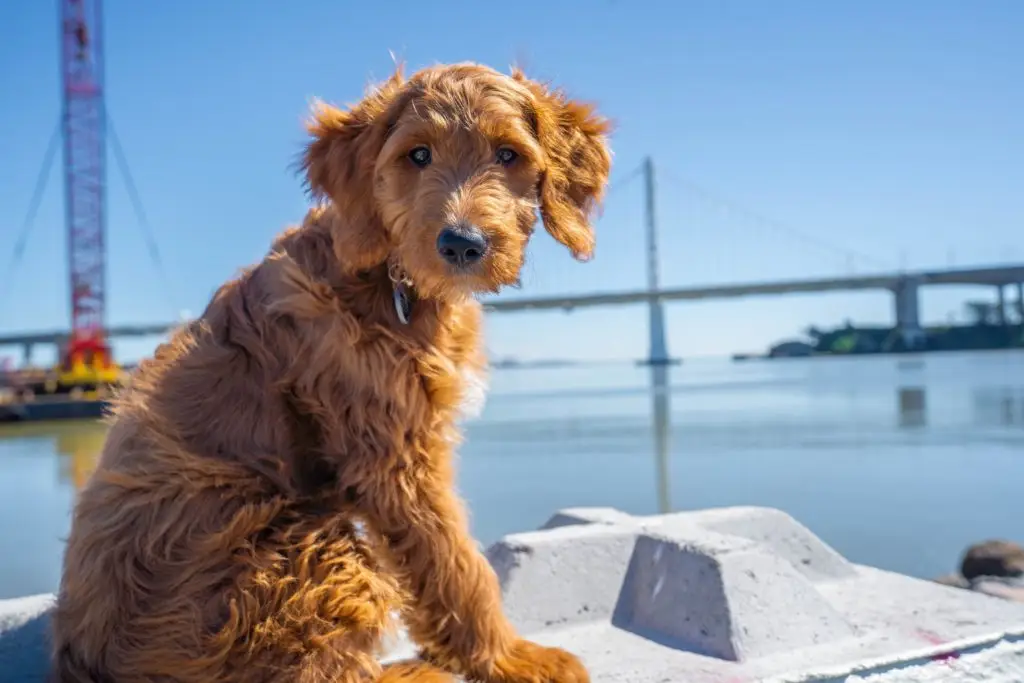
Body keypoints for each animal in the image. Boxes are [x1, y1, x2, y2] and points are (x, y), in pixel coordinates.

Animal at [49, 61, 606, 679]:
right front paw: (511, 659)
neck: (384, 281)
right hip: (290, 544)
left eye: (508, 154)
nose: (462, 243)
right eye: (417, 155)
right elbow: (454, 562)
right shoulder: (396, 460)